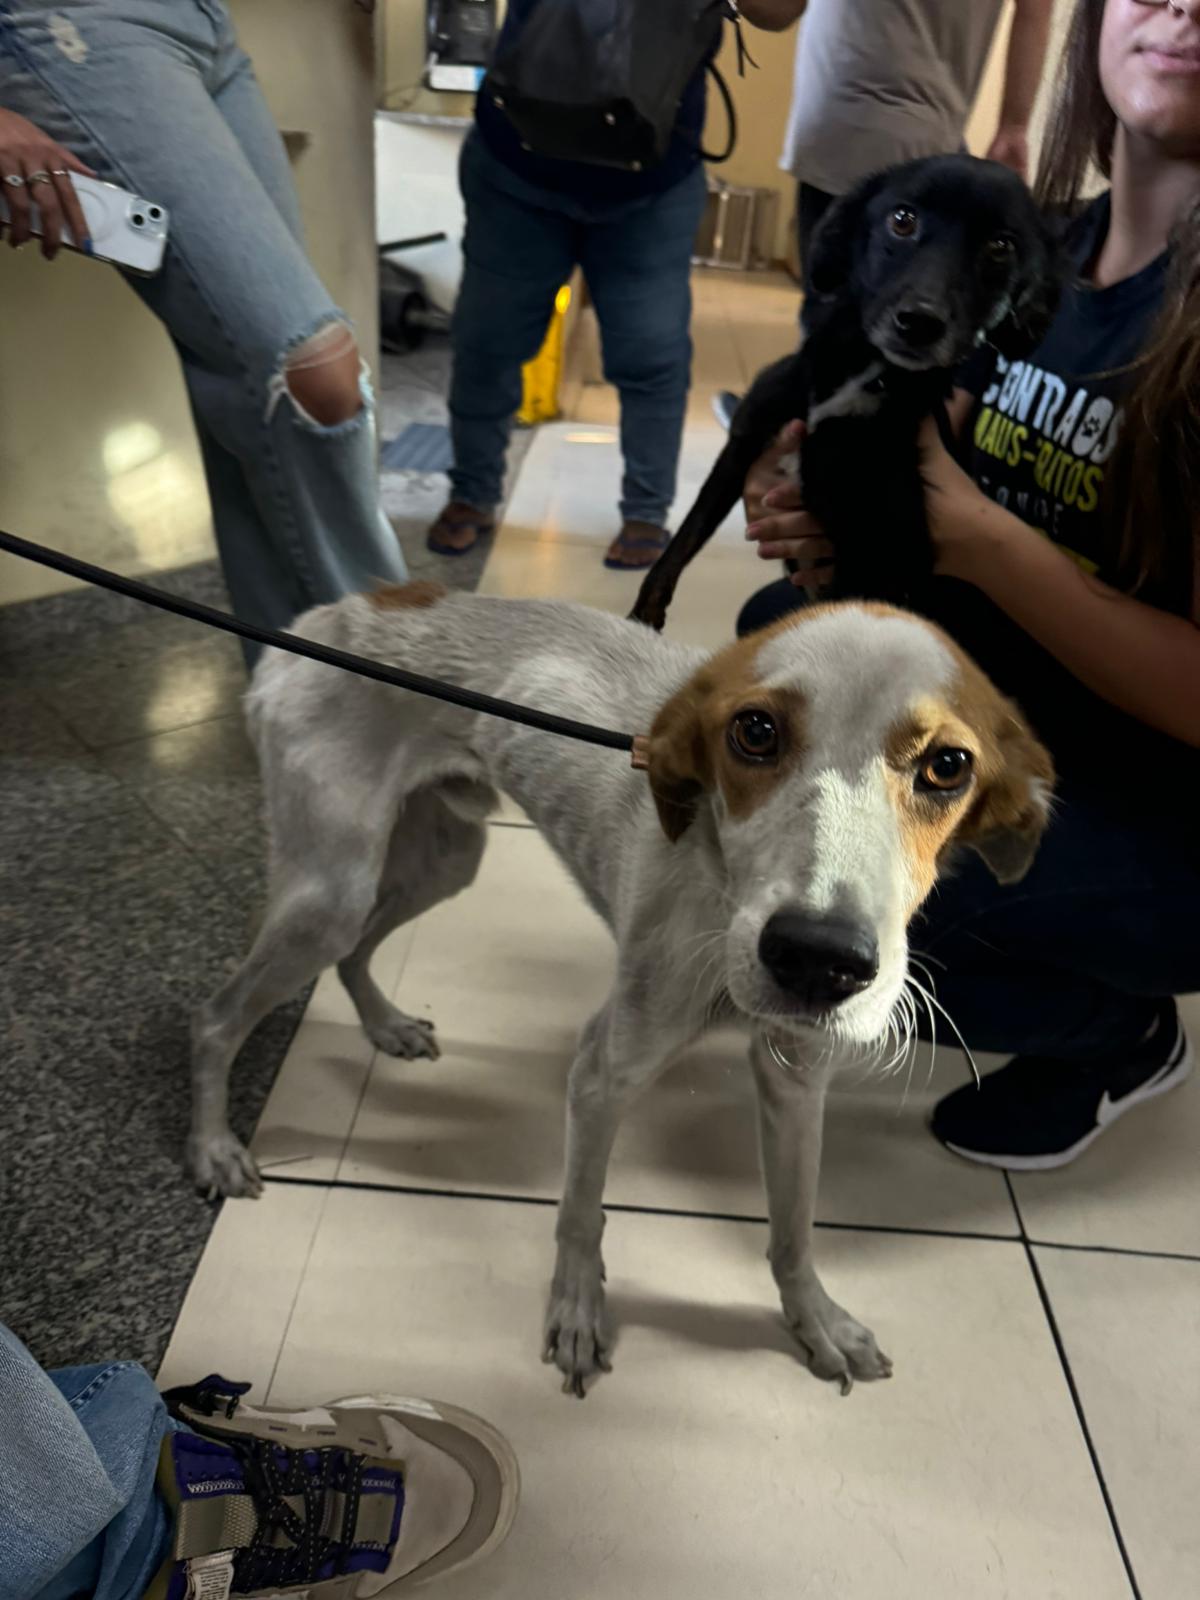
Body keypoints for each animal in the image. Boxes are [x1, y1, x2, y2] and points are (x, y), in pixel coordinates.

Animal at [190, 585, 1049, 1388]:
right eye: (755, 731)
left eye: (949, 766)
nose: (818, 959)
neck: (718, 883)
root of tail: (326, 615)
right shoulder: (603, 1067)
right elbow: (581, 1212)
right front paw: (575, 1311)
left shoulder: (797, 1081)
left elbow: (794, 1230)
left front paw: (814, 1321)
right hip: (331, 891)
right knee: (217, 1018)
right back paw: (214, 1147)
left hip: (446, 855)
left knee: (355, 953)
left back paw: (385, 1025)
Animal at [630, 156, 1062, 630]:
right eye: (902, 219)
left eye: (1001, 246)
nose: (920, 323)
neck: (865, 372)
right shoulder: (745, 443)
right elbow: (686, 536)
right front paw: (643, 613)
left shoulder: (881, 556)